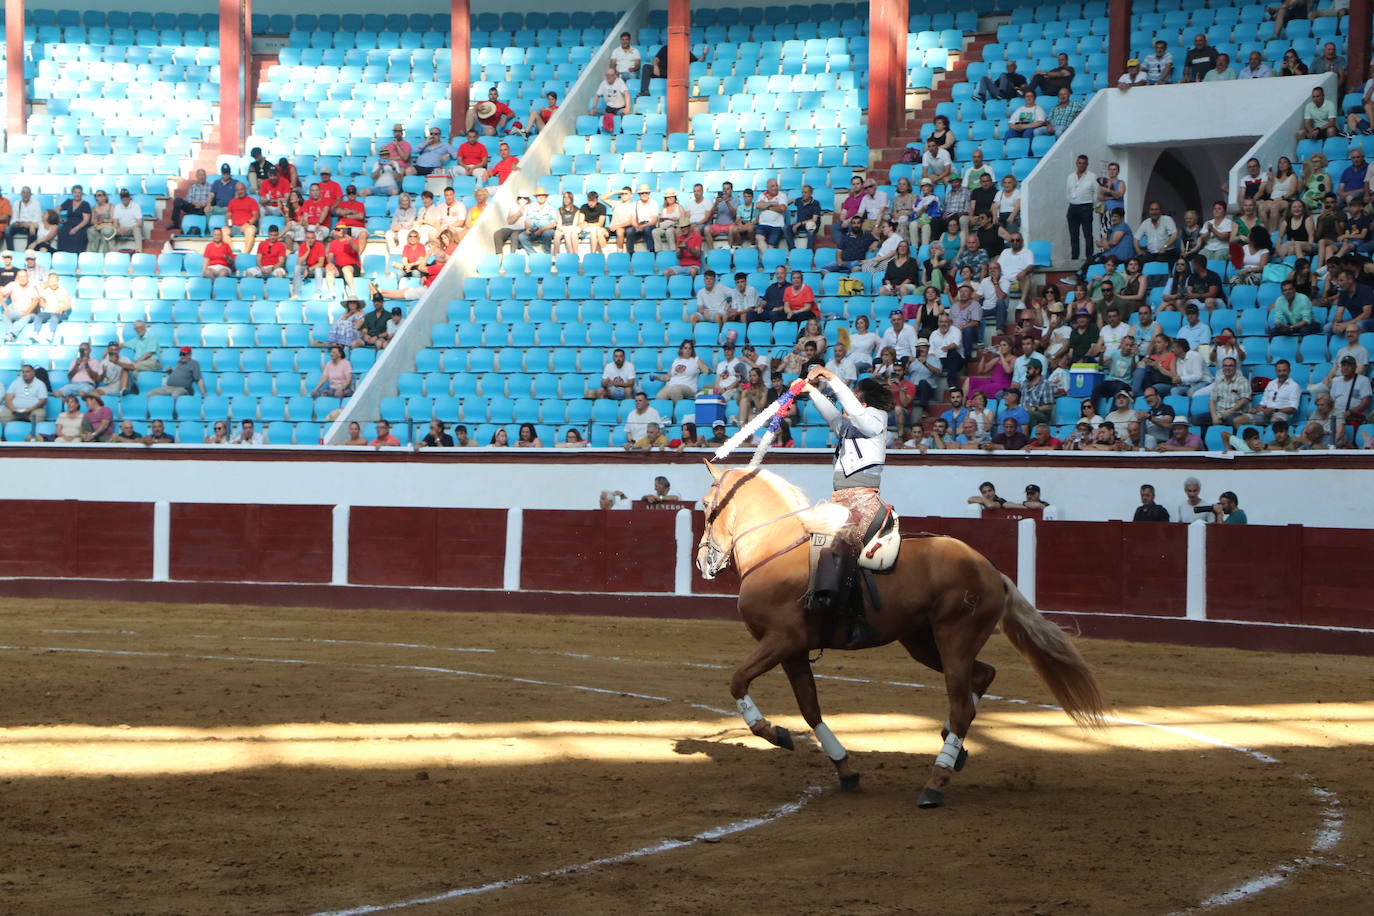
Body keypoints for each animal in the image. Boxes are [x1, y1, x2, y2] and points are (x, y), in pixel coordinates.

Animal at [697, 466, 1104, 807]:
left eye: (705, 505)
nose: (702, 561)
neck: (775, 548)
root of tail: (992, 571)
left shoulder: (782, 641)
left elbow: (737, 681)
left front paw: (773, 732)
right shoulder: (794, 652)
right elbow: (810, 709)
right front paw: (845, 770)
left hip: (954, 638)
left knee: (962, 706)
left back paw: (935, 782)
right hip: (923, 643)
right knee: (983, 676)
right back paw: (952, 748)